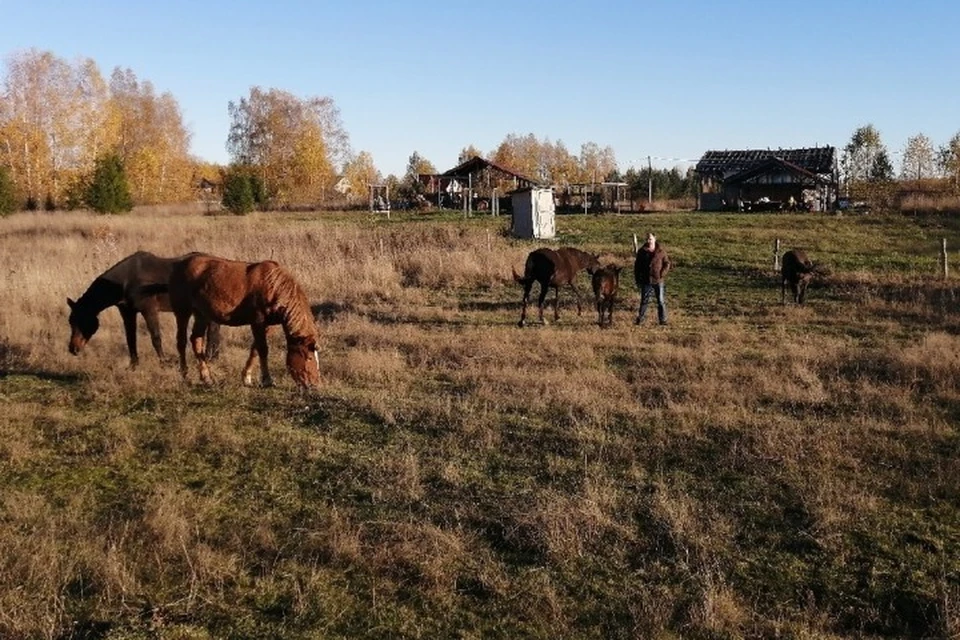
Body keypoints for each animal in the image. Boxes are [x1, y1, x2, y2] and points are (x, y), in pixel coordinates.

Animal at [67, 252, 219, 368]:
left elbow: (156, 337)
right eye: (70, 321)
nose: (73, 349)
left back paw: (210, 357)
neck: (126, 280)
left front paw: (164, 362)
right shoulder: (127, 313)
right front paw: (133, 365)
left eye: (83, 320)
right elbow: (130, 338)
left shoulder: (149, 310)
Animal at [165, 252, 316, 388]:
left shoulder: (267, 325)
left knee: (196, 339)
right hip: (182, 312)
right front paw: (267, 380)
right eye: (308, 356)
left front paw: (246, 377)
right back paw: (185, 376)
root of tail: (179, 265)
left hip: (202, 314)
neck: (273, 285)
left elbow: (255, 349)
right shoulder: (257, 322)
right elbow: (263, 349)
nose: (314, 384)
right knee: (181, 342)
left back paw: (207, 378)